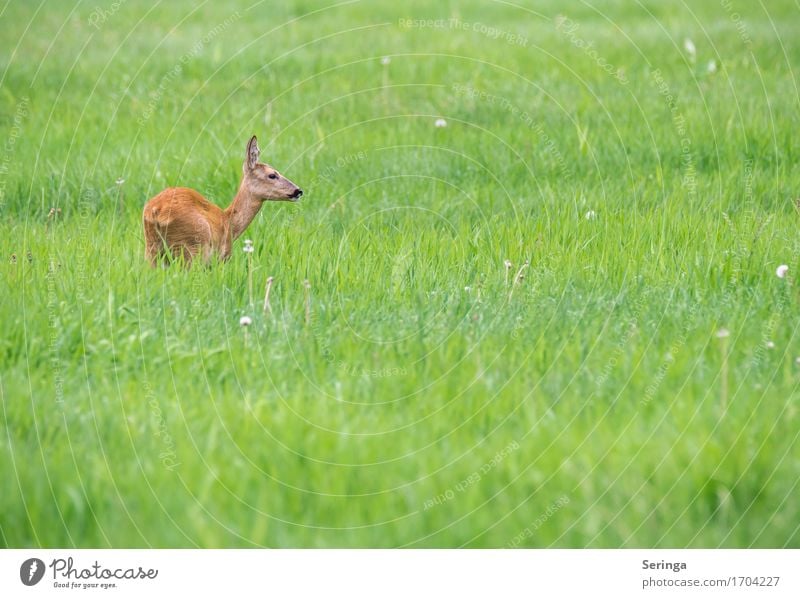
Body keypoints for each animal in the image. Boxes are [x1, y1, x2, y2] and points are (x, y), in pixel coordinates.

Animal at [142, 137, 302, 268]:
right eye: (272, 175)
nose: (298, 191)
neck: (229, 221)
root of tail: (156, 211)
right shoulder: (221, 258)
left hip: (152, 251)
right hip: (192, 248)